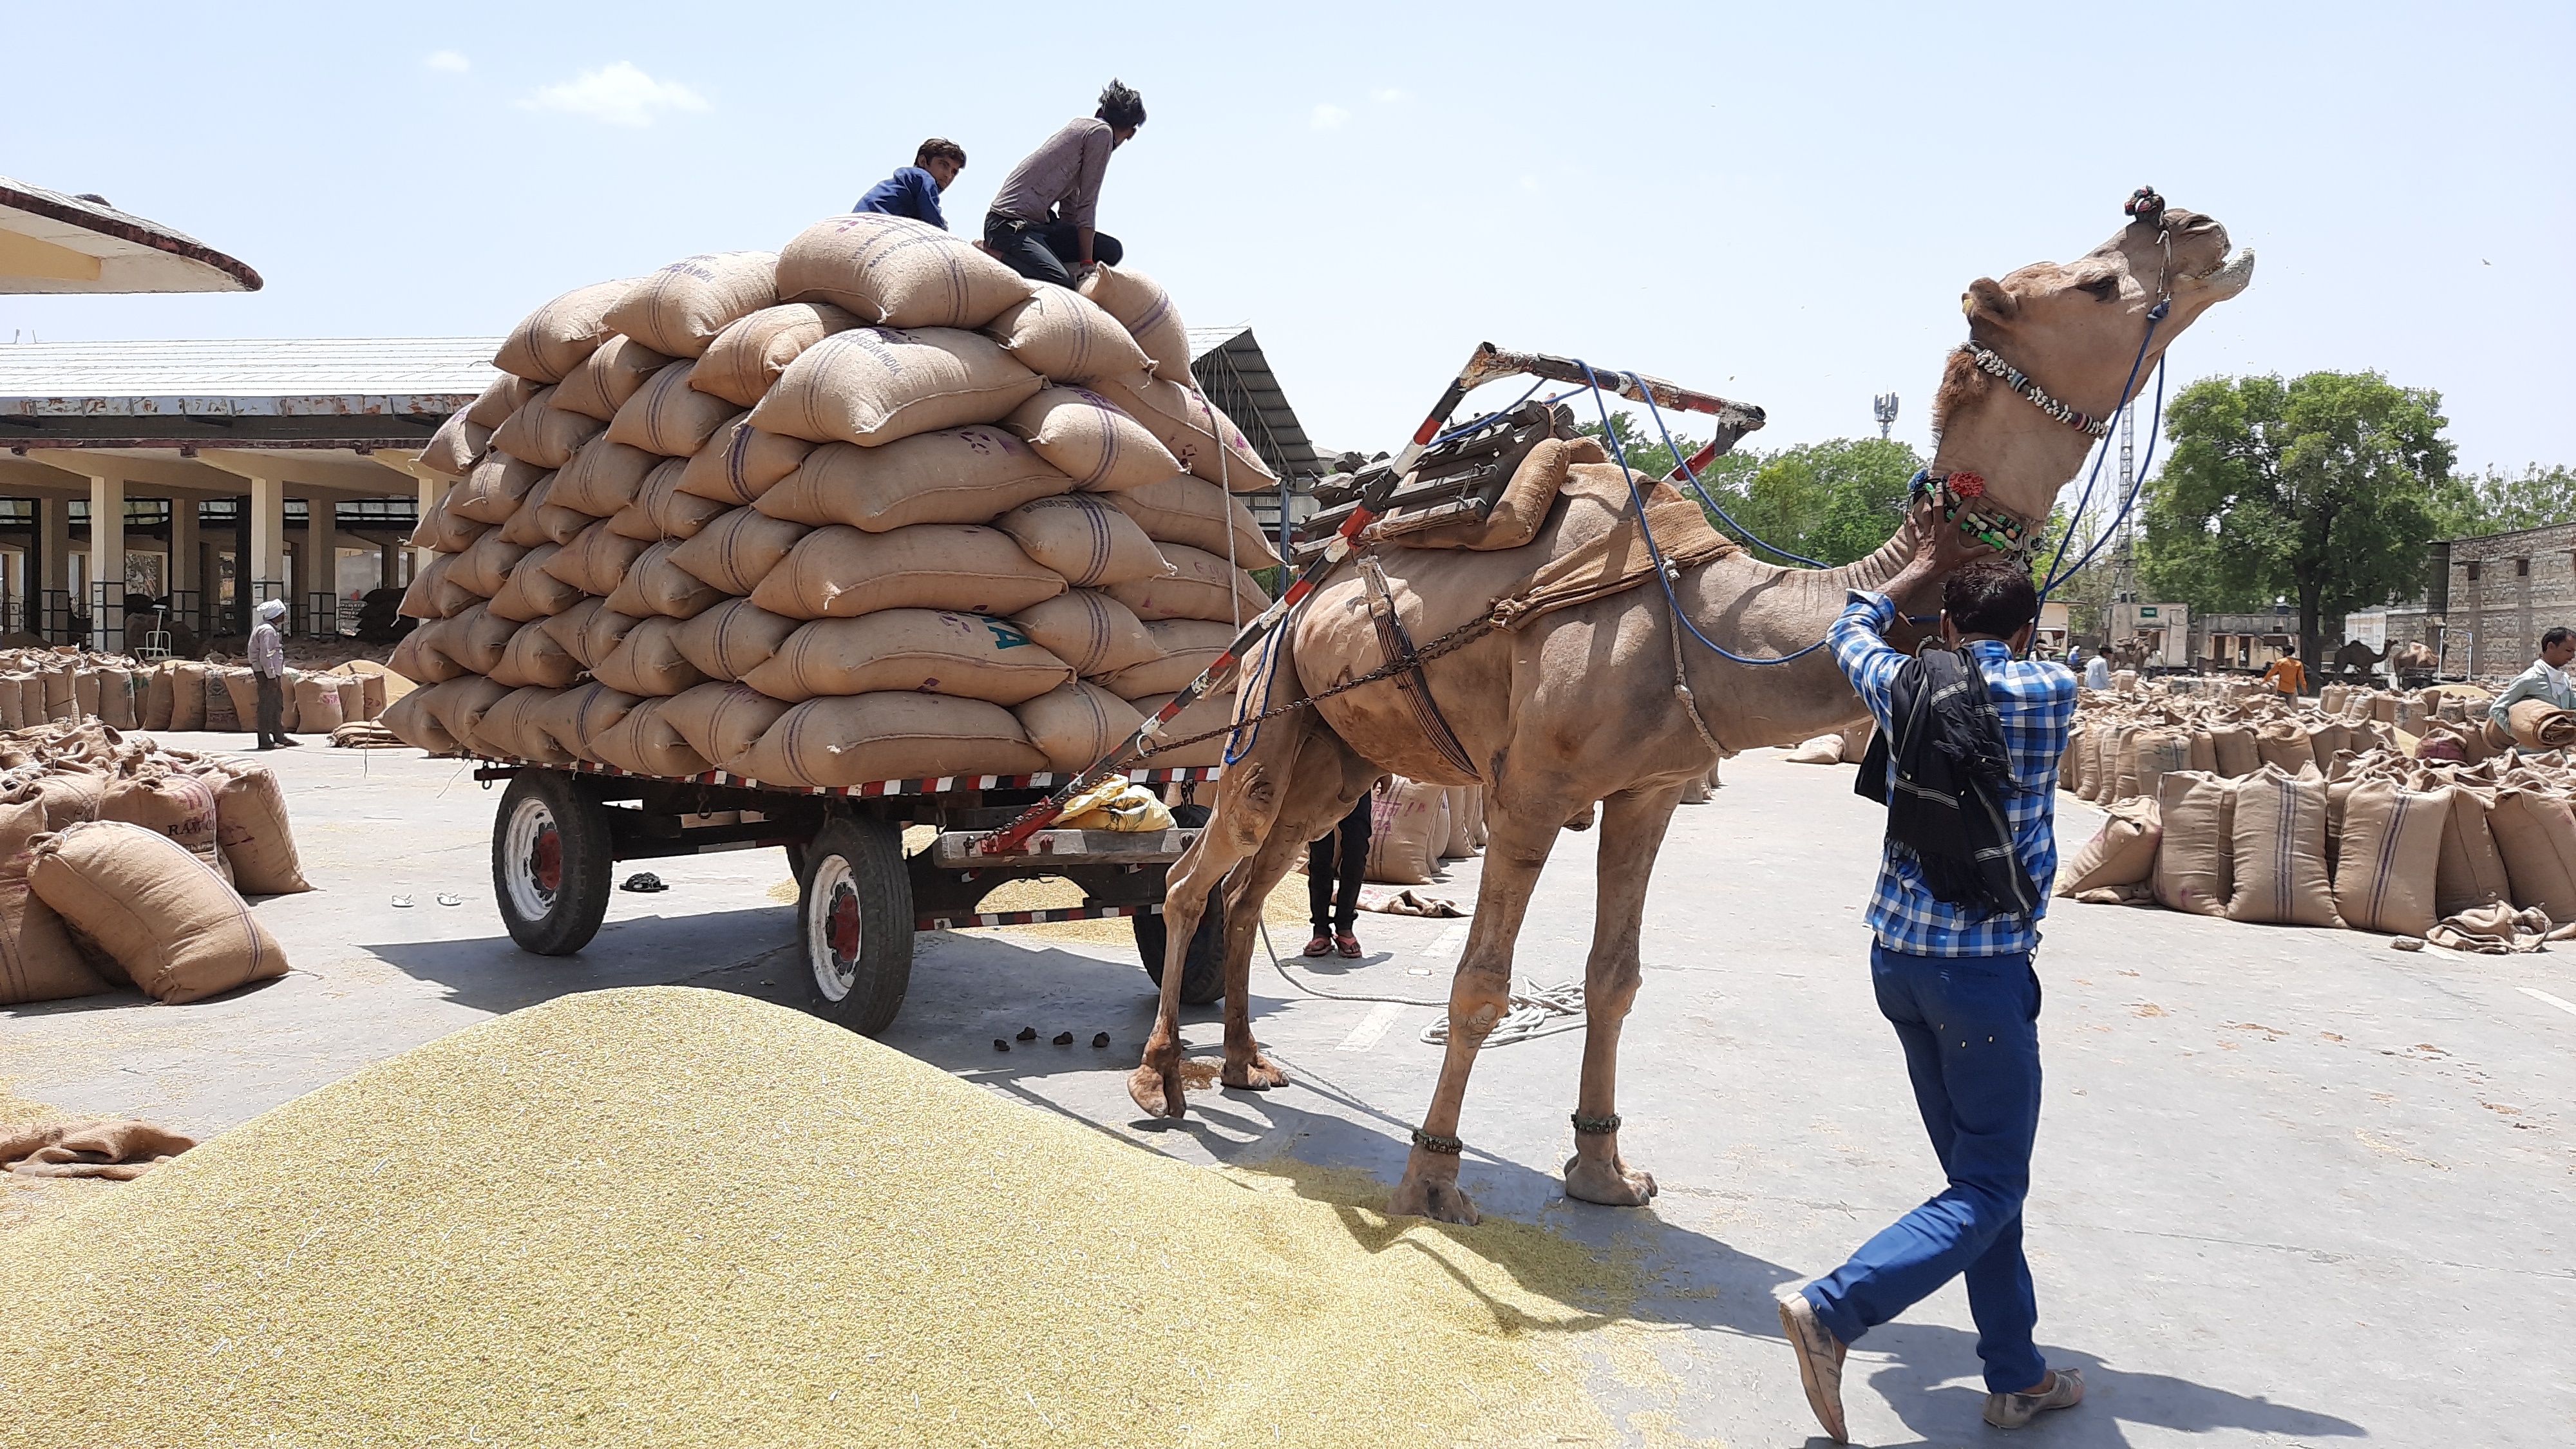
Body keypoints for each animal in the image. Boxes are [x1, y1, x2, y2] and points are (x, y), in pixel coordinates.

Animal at [1139, 204, 2246, 1217]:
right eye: (2095, 284)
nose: (2199, 224)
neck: (1707, 620)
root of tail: (1305, 576)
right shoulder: (1532, 791)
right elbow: (1482, 983)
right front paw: (1431, 1178)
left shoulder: (1650, 792)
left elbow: (1614, 977)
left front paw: (1603, 1171)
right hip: (1269, 701)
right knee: (1200, 872)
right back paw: (1162, 1080)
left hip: (1345, 753)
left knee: (1256, 880)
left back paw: (1242, 1064)